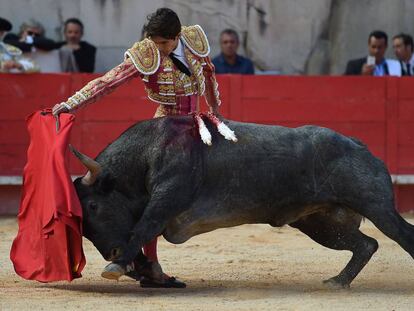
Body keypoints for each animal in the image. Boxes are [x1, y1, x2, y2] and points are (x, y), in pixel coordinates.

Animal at [73, 117, 414, 290]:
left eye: (93, 207)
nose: (111, 252)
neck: (146, 152)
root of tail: (359, 145)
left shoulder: (167, 198)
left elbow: (143, 228)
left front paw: (118, 265)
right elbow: (143, 236)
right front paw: (143, 272)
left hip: (377, 206)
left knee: (401, 234)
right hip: (319, 224)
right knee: (365, 244)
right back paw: (337, 282)